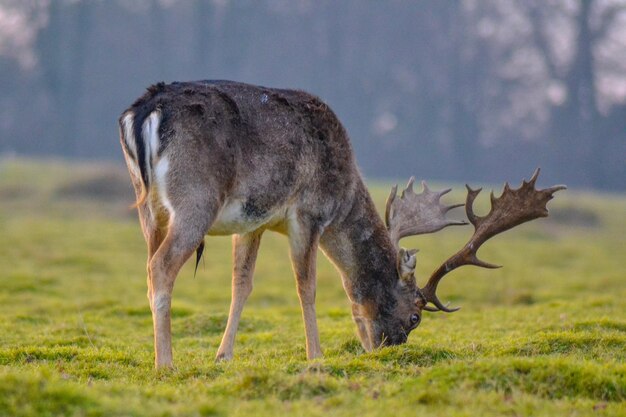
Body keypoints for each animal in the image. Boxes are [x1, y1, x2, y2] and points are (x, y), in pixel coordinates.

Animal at [118, 80, 564, 368]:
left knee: (149, 264)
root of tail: (142, 112)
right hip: (196, 199)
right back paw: (165, 364)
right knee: (160, 267)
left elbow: (241, 285)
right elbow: (309, 287)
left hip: (148, 207)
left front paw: (223, 356)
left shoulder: (253, 222)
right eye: (416, 317)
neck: (346, 193)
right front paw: (316, 357)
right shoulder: (309, 213)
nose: (386, 350)